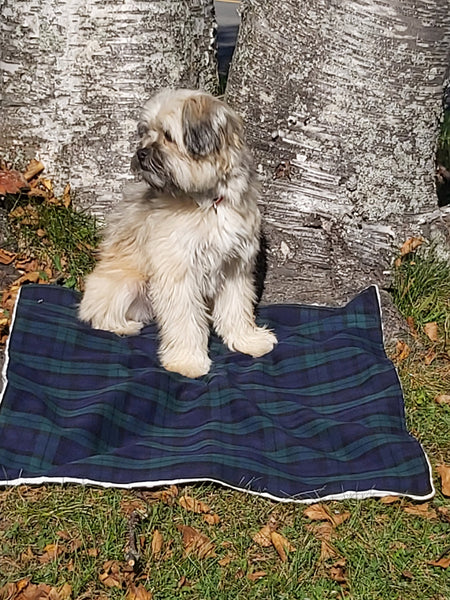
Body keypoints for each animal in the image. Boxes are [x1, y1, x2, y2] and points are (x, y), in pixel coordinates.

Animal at [80, 89, 278, 378]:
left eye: (168, 136)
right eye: (145, 132)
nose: (141, 152)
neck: (208, 203)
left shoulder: (235, 267)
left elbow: (236, 308)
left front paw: (247, 340)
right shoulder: (178, 272)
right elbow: (185, 321)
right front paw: (188, 362)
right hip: (127, 283)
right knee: (97, 314)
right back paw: (124, 326)